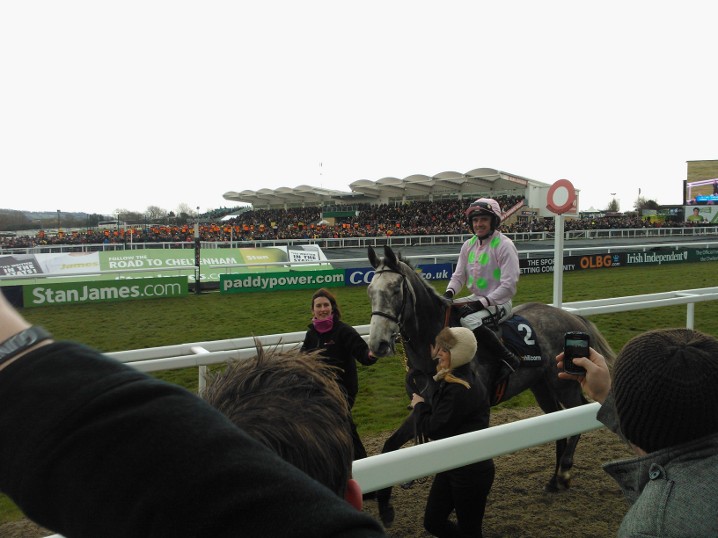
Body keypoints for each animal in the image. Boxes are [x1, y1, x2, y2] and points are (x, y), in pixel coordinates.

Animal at [366, 245, 615, 527]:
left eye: (396, 290)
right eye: (370, 291)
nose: (377, 344)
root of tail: (572, 317)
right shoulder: (423, 409)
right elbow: (390, 446)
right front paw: (385, 506)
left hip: (564, 384)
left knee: (578, 415)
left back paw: (564, 472)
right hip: (541, 387)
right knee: (558, 424)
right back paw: (554, 479)